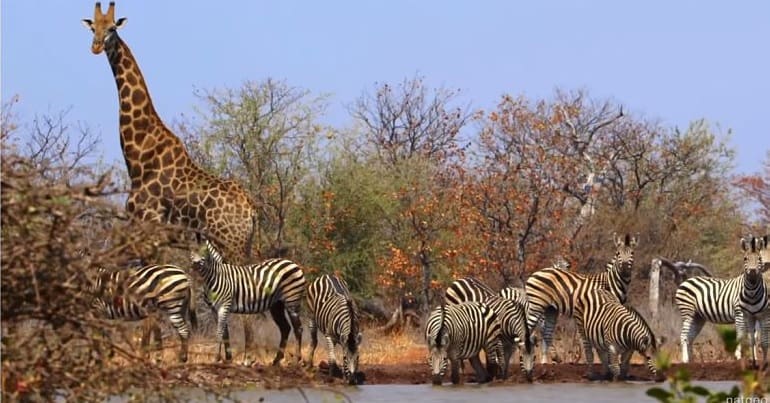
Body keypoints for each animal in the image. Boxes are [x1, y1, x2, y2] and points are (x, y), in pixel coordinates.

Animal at [80, 2, 256, 266]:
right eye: (93, 27)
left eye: (112, 28)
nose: (96, 46)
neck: (139, 155)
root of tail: (251, 211)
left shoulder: (147, 224)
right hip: (240, 244)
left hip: (230, 243)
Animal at [520, 232, 636, 364]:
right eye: (618, 254)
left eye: (632, 253)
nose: (625, 269)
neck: (612, 282)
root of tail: (535, 274)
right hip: (537, 306)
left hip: (549, 309)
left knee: (545, 332)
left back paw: (546, 361)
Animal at [676, 235, 764, 368]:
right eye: (745, 258)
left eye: (759, 258)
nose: (753, 273)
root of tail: (686, 280)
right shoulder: (739, 313)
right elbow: (741, 335)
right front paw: (739, 357)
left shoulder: (755, 316)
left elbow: (753, 337)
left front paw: (754, 359)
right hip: (688, 312)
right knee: (684, 335)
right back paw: (685, 360)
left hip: (698, 317)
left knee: (690, 337)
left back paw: (692, 361)